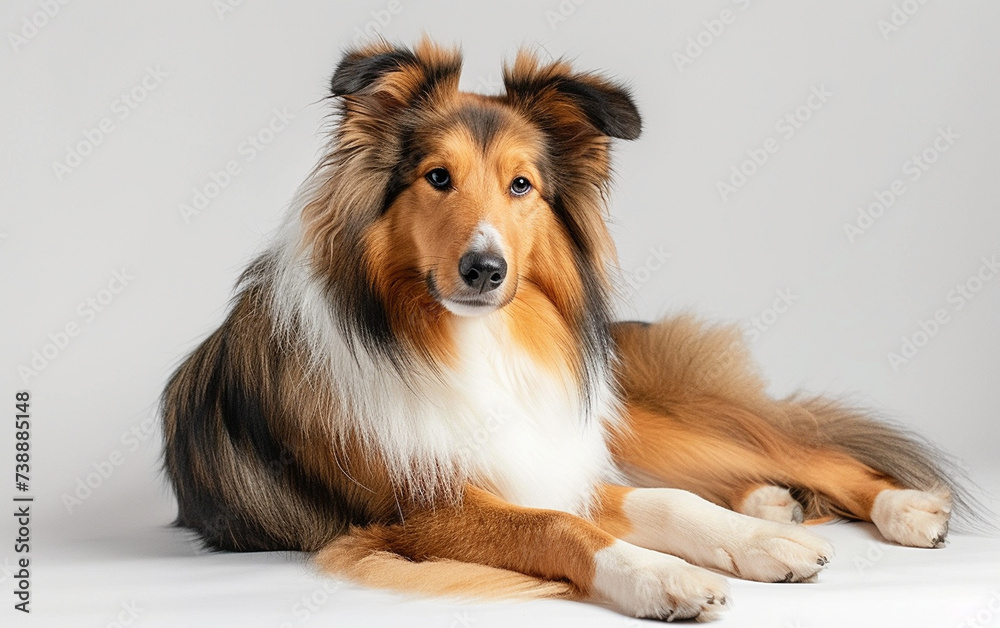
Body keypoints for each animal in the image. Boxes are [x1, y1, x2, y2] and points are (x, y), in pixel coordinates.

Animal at [162, 39, 960, 620]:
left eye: (522, 186)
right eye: (437, 177)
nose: (485, 269)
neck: (474, 344)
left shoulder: (551, 455)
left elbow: (665, 502)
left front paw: (759, 542)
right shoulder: (410, 513)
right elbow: (560, 525)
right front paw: (665, 576)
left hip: (641, 418)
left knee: (796, 450)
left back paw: (896, 506)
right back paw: (772, 502)